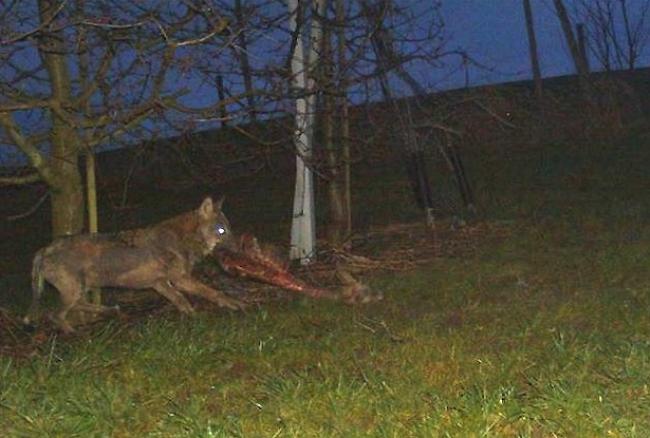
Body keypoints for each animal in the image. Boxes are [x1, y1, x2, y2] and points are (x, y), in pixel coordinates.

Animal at [24, 196, 244, 332]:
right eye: (222, 231)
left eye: (228, 229)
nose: (239, 249)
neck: (185, 239)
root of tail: (44, 249)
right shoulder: (180, 279)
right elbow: (212, 292)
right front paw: (233, 304)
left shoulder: (160, 284)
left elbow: (180, 300)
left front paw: (192, 317)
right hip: (74, 290)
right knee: (55, 314)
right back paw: (75, 333)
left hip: (80, 288)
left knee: (77, 306)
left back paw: (109, 310)